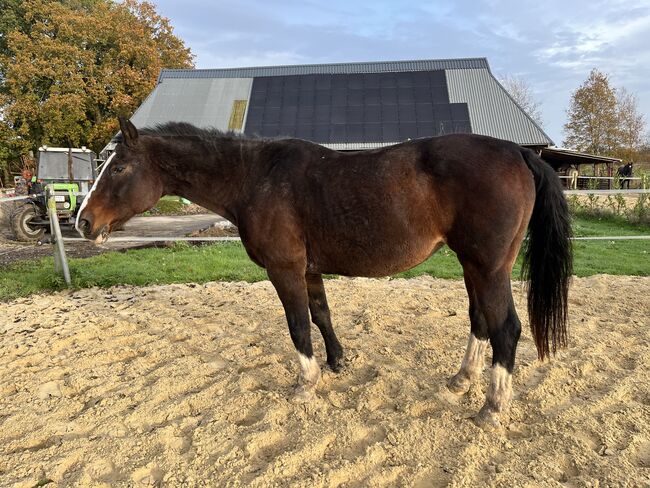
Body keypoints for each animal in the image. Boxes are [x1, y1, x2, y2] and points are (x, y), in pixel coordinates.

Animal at [77, 117, 572, 428]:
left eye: (119, 167)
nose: (83, 221)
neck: (254, 178)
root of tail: (519, 153)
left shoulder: (285, 270)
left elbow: (298, 325)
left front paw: (305, 383)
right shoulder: (309, 270)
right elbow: (321, 315)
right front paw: (337, 362)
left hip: (488, 267)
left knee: (506, 328)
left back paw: (492, 407)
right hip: (472, 265)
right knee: (480, 321)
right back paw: (462, 379)